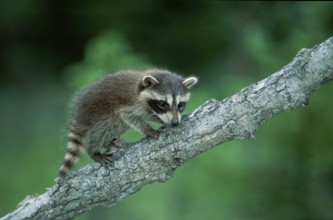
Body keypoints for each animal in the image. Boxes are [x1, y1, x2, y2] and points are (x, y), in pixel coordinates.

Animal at [58, 69, 197, 179]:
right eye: (162, 103)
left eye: (180, 105)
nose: (175, 122)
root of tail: (80, 115)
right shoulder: (127, 104)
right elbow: (130, 117)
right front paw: (149, 130)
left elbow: (149, 115)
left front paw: (166, 120)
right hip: (100, 112)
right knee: (107, 125)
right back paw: (94, 150)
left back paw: (108, 143)